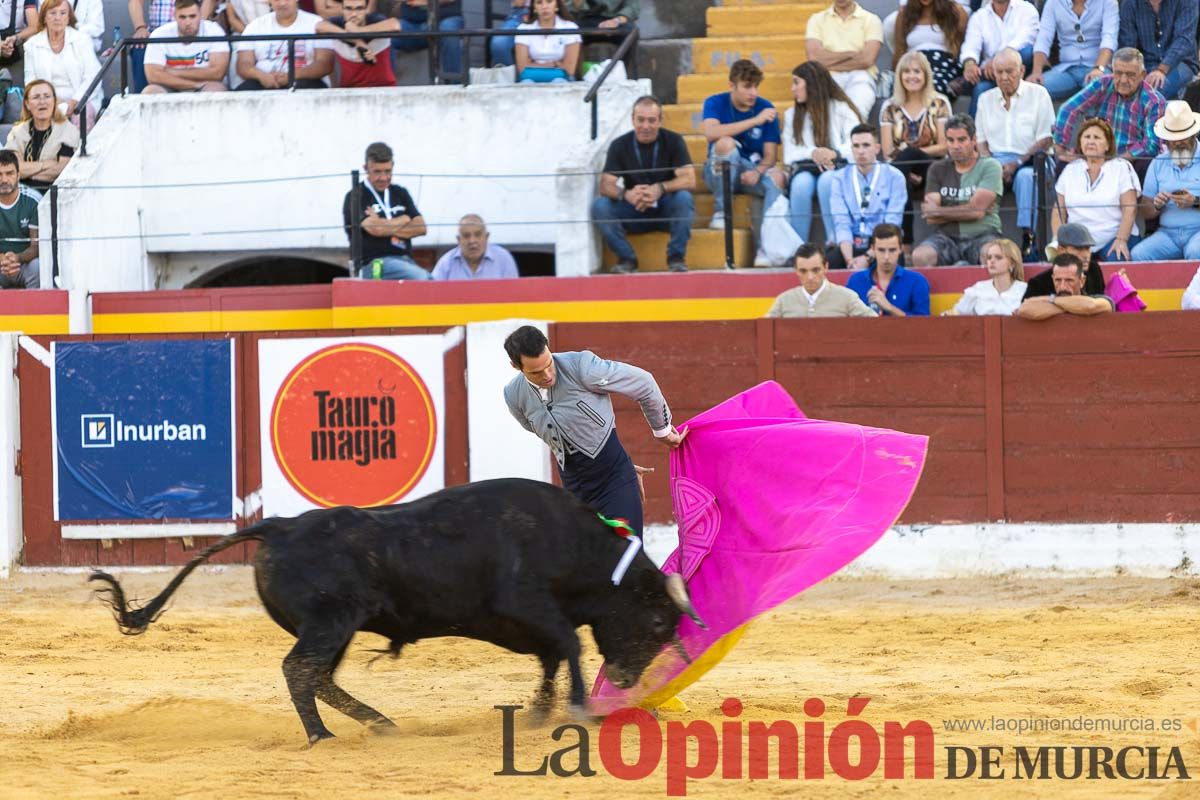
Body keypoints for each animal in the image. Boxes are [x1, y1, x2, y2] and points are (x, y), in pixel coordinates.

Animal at [91, 474, 700, 743]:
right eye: (653, 622)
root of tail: (279, 526)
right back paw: (324, 736)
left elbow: (553, 655)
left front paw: (540, 710)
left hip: (338, 627)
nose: (625, 679)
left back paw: (381, 724)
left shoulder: (524, 624)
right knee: (300, 670)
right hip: (330, 621)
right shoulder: (526, 604)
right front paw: (574, 709)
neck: (573, 542)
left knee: (319, 676)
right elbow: (569, 645)